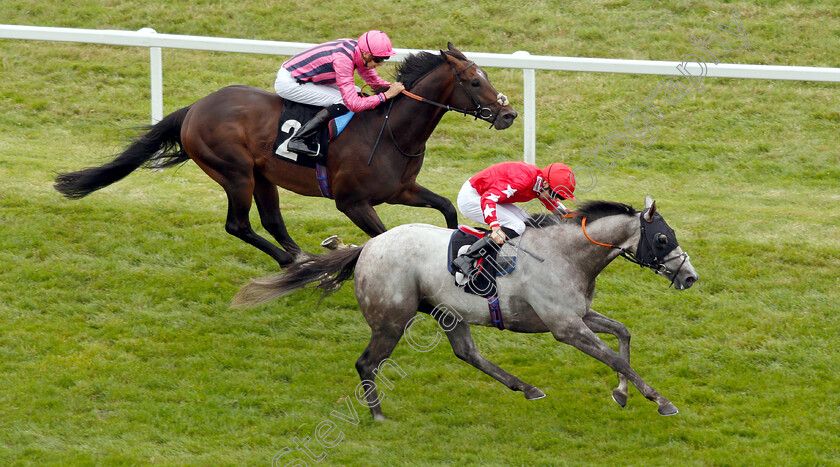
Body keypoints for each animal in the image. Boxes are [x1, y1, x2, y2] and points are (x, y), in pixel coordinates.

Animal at [54, 45, 520, 268]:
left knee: (272, 220)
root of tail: (195, 108)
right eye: (474, 82)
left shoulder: (401, 189)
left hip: (262, 176)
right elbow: (382, 237)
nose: (508, 114)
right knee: (238, 224)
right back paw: (292, 260)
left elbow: (445, 209)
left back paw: (301, 257)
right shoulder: (352, 201)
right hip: (235, 172)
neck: (390, 130)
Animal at [233, 197, 700, 420]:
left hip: (448, 314)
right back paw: (377, 415)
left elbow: (622, 333)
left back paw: (526, 387)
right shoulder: (565, 327)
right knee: (367, 364)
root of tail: (367, 247)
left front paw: (622, 395)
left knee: (467, 353)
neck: (568, 255)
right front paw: (659, 400)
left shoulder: (578, 316)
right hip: (391, 321)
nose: (689, 276)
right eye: (662, 239)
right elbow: (615, 358)